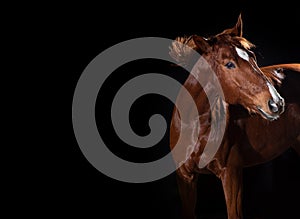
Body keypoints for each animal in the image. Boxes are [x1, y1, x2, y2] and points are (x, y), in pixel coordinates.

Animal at [169, 14, 300, 219]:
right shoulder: (185, 177)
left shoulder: (231, 174)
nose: (276, 103)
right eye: (229, 64)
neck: (194, 126)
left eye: (253, 57)